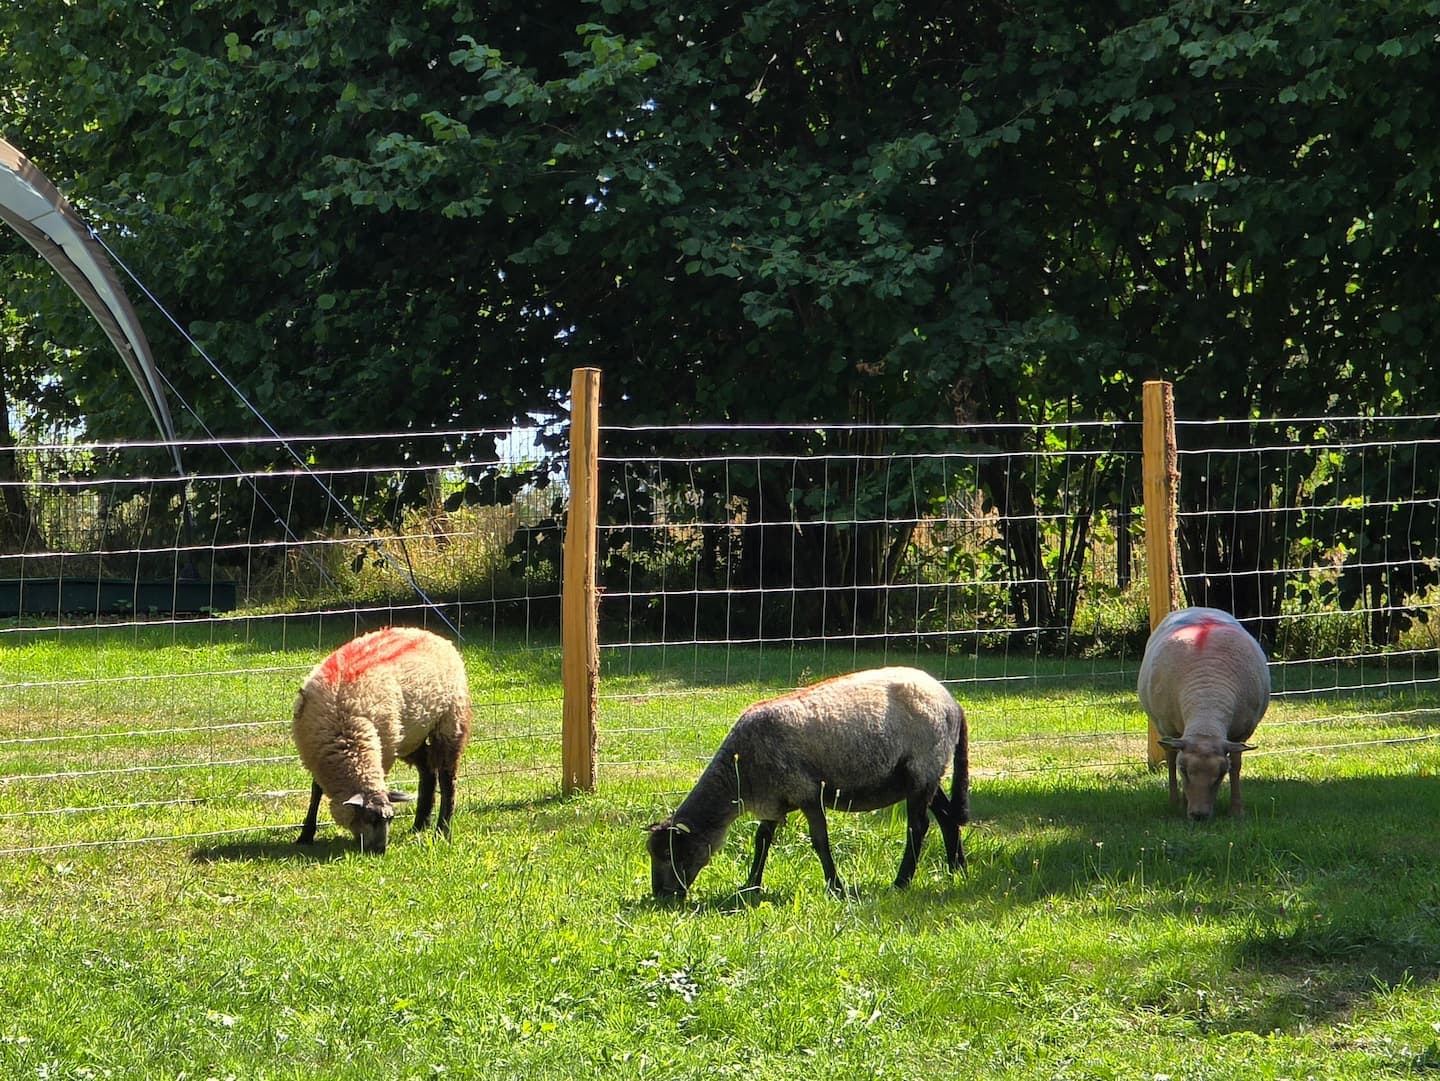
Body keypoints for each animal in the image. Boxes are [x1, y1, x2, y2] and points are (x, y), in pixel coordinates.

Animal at [292, 626, 471, 852]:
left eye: (390, 820)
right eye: (369, 819)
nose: (380, 850)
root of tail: (433, 635)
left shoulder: (382, 752)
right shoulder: (317, 754)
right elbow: (316, 791)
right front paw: (306, 835)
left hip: (450, 722)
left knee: (448, 781)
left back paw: (443, 830)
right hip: (410, 736)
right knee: (428, 770)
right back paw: (420, 824)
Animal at [646, 666, 969, 899]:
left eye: (670, 853)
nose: (661, 896)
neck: (737, 775)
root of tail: (952, 702)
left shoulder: (806, 792)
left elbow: (820, 841)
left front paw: (835, 887)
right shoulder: (775, 800)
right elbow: (762, 840)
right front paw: (751, 886)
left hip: (921, 766)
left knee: (919, 826)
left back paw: (901, 883)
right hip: (924, 772)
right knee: (947, 816)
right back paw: (957, 871)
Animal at [1137, 606, 1270, 820]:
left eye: (1221, 773)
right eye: (1184, 770)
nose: (1199, 815)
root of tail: (1199, 608)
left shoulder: (1241, 732)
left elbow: (1236, 765)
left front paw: (1236, 809)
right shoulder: (1172, 729)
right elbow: (1174, 759)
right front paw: (1182, 802)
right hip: (1163, 726)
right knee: (1170, 755)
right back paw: (1175, 801)